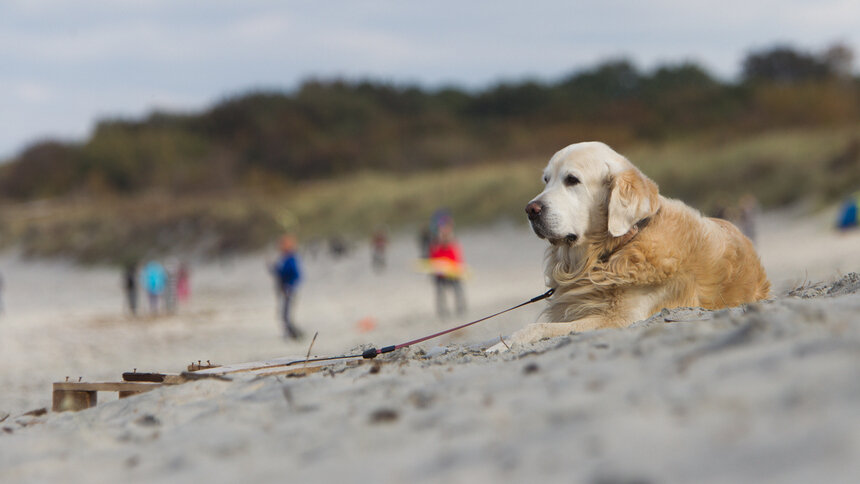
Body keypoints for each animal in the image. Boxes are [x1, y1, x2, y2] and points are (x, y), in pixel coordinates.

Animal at [488, 142, 768, 350]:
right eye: (546, 180)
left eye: (572, 180)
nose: (530, 210)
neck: (611, 251)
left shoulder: (622, 318)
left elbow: (538, 326)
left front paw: (503, 345)